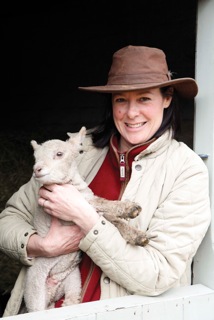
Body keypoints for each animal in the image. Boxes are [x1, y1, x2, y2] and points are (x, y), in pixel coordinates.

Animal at [22, 125, 148, 312]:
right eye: (36, 158)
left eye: (59, 154)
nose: (37, 169)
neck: (74, 188)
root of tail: (52, 292)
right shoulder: (71, 213)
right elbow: (104, 204)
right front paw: (129, 209)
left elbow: (112, 219)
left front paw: (137, 235)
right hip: (35, 290)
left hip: (72, 281)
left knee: (71, 300)